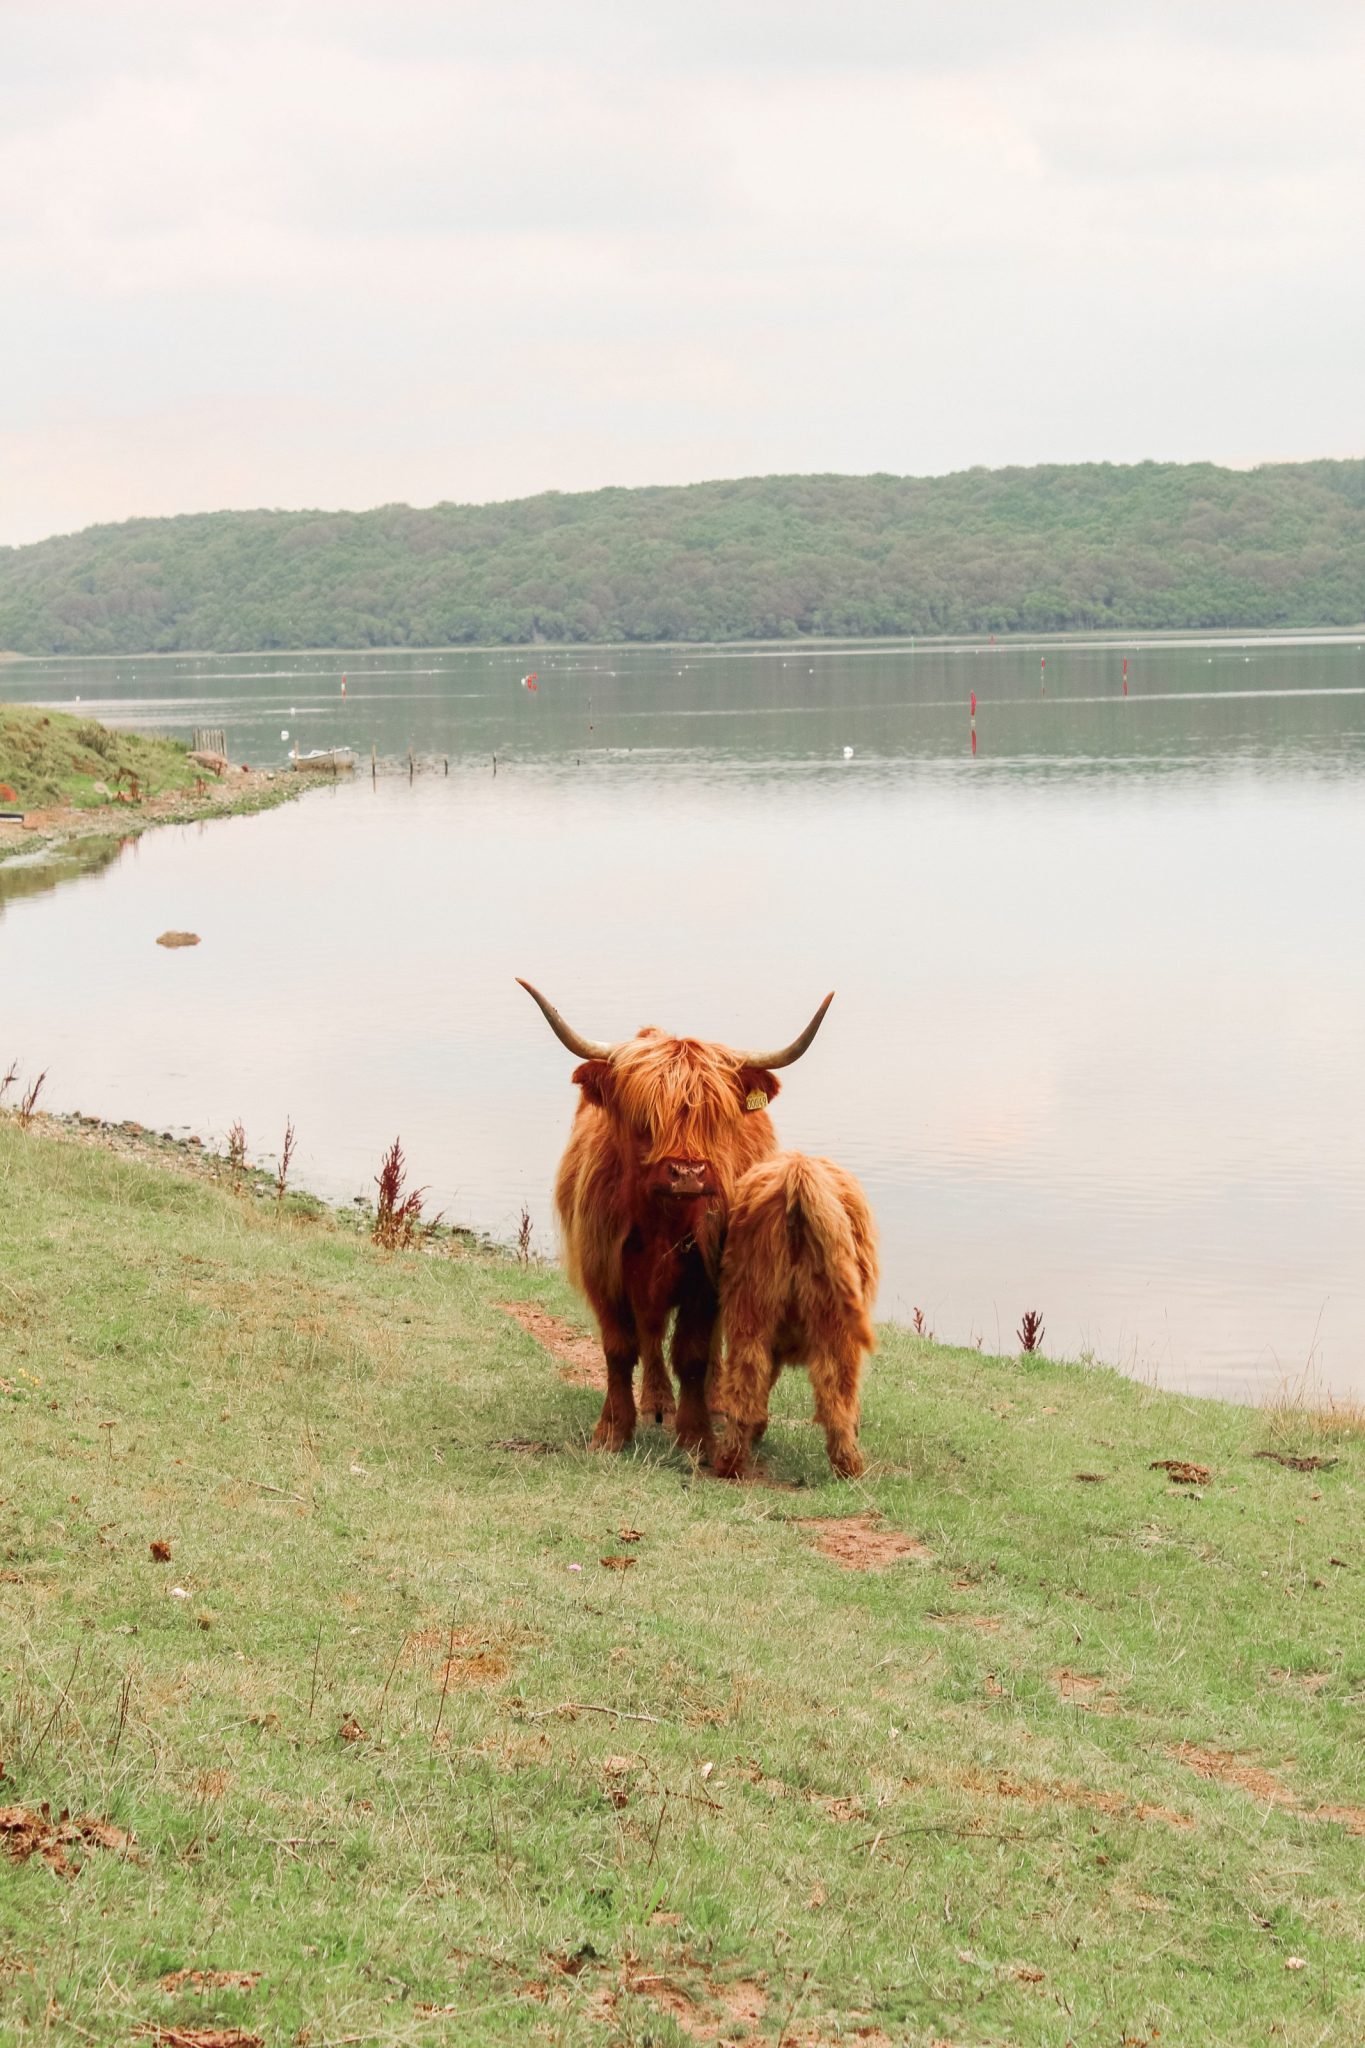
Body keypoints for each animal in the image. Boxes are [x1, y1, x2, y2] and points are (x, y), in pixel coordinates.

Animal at [712, 1155, 879, 1474]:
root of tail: (800, 1172)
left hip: (752, 1309)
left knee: (747, 1378)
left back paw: (732, 1460)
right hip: (837, 1325)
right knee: (838, 1393)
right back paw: (851, 1465)